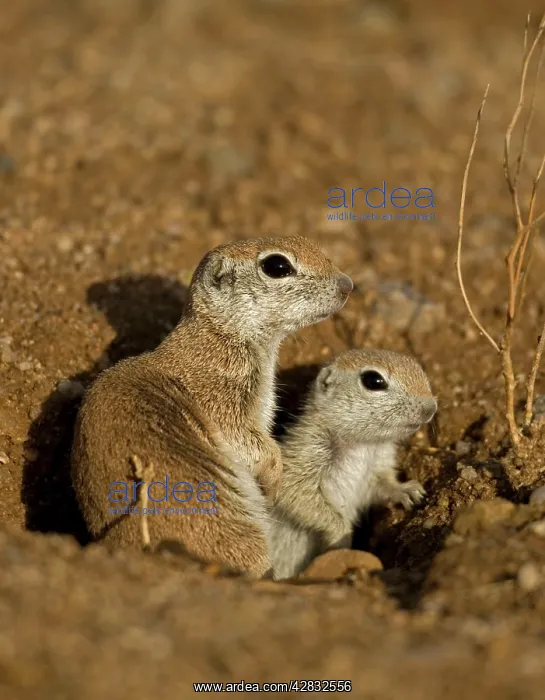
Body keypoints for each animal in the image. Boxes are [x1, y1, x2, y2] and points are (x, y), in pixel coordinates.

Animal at [71, 237, 353, 576]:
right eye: (277, 266)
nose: (348, 284)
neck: (219, 336)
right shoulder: (221, 400)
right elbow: (251, 444)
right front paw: (274, 481)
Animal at [269, 348, 437, 580]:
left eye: (418, 366)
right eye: (373, 381)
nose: (431, 408)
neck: (364, 445)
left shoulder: (376, 467)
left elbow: (383, 485)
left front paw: (406, 490)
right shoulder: (306, 454)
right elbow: (297, 495)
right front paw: (342, 535)